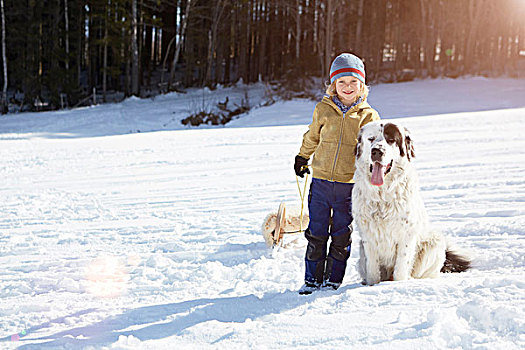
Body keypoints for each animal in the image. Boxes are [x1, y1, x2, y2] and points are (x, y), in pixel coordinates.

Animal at [350, 121, 468, 286]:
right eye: (371, 139)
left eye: (391, 140)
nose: (377, 151)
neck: (382, 196)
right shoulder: (368, 237)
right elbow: (373, 270)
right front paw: (372, 285)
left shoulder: (406, 235)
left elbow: (401, 267)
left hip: (434, 242)